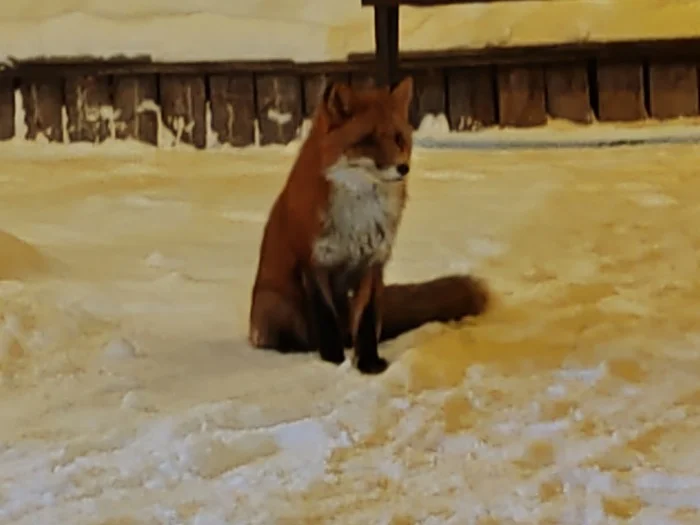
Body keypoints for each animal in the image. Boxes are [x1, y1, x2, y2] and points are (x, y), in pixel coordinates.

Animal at [248, 76, 489, 374]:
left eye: (398, 138)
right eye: (368, 140)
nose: (403, 168)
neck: (359, 218)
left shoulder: (372, 265)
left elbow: (365, 322)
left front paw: (369, 364)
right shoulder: (315, 264)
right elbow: (326, 322)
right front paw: (333, 361)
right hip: (276, 305)